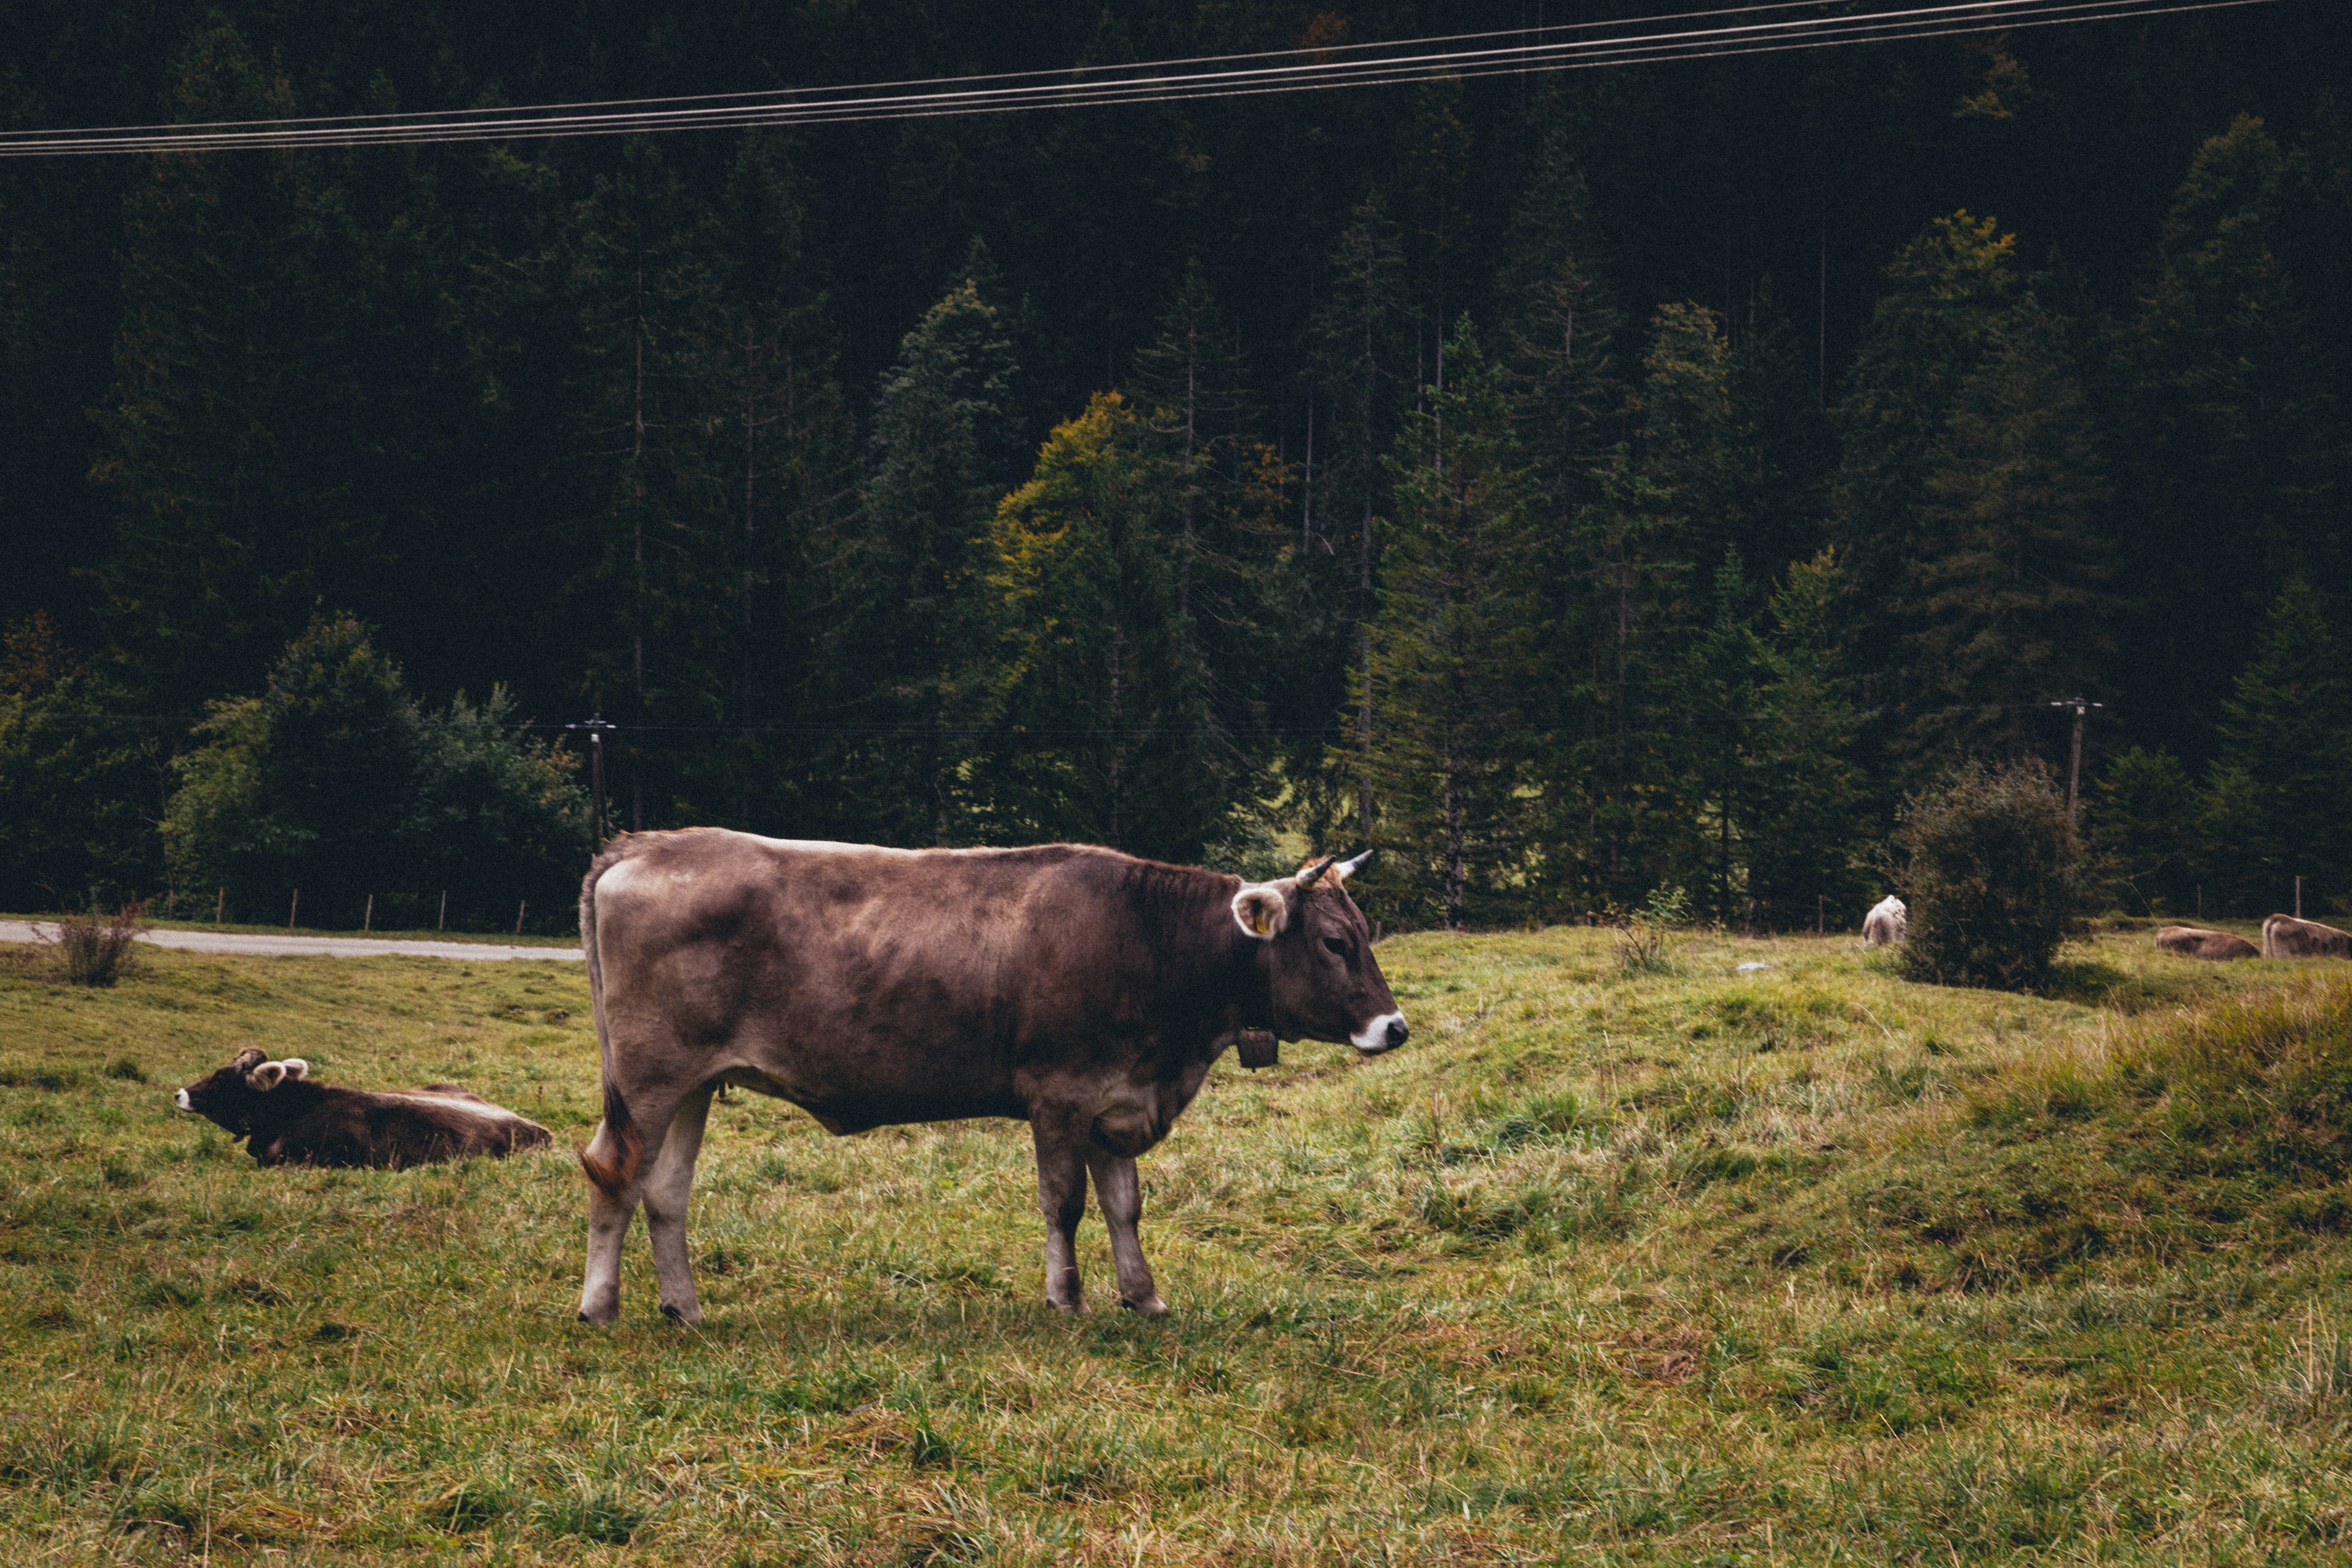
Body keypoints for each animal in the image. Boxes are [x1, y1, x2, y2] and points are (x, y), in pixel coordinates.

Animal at [576, 832, 1402, 1326]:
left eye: (1365, 933)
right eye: (1336, 942)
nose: (1394, 1027)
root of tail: (647, 844)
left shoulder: (1116, 1098)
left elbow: (1125, 1205)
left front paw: (1144, 1296)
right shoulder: (1061, 1093)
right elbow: (1066, 1203)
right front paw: (1067, 1299)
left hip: (691, 1084)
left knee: (665, 1191)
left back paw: (684, 1307)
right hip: (650, 1077)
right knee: (614, 1172)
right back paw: (601, 1306)